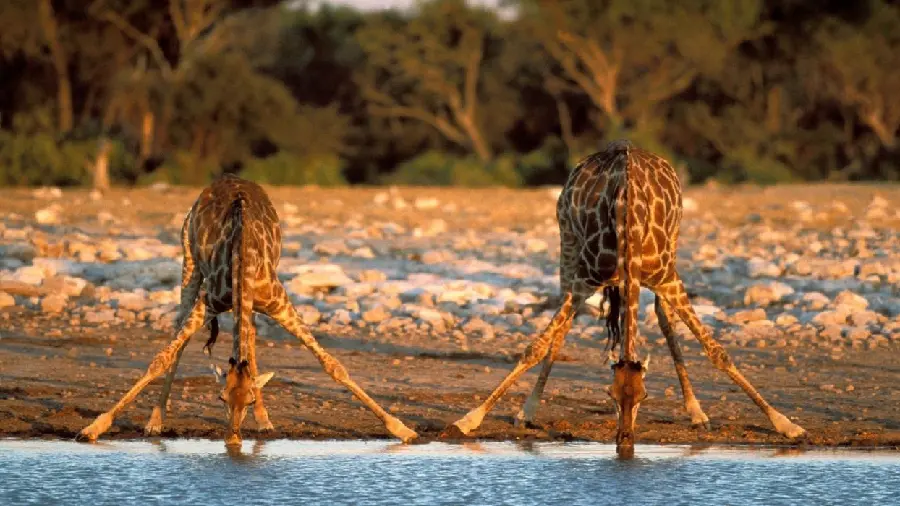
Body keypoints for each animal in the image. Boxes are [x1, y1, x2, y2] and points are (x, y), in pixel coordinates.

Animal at [77, 176, 418, 444]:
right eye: (220, 397)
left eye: (249, 398)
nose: (232, 439)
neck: (243, 256)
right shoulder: (210, 302)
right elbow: (161, 358)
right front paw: (94, 428)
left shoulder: (279, 302)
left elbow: (333, 365)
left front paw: (402, 429)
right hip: (189, 261)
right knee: (181, 332)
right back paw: (155, 422)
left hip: (247, 301)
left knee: (250, 341)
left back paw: (265, 421)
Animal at [450, 140, 808, 448]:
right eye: (610, 395)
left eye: (644, 396)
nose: (625, 440)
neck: (629, 223)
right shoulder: (584, 280)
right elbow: (534, 348)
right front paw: (470, 419)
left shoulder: (667, 278)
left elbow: (718, 353)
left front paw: (787, 424)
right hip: (568, 244)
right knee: (563, 328)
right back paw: (528, 410)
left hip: (672, 250)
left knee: (665, 319)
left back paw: (696, 412)